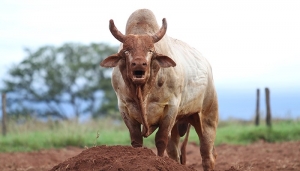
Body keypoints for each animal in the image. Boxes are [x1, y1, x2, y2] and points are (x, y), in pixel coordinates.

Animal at [100, 9, 218, 171]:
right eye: (126, 51)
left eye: (150, 51)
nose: (139, 64)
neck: (142, 92)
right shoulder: (124, 108)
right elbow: (136, 140)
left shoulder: (170, 108)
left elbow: (161, 140)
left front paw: (160, 162)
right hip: (178, 123)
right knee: (174, 151)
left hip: (207, 118)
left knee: (207, 154)